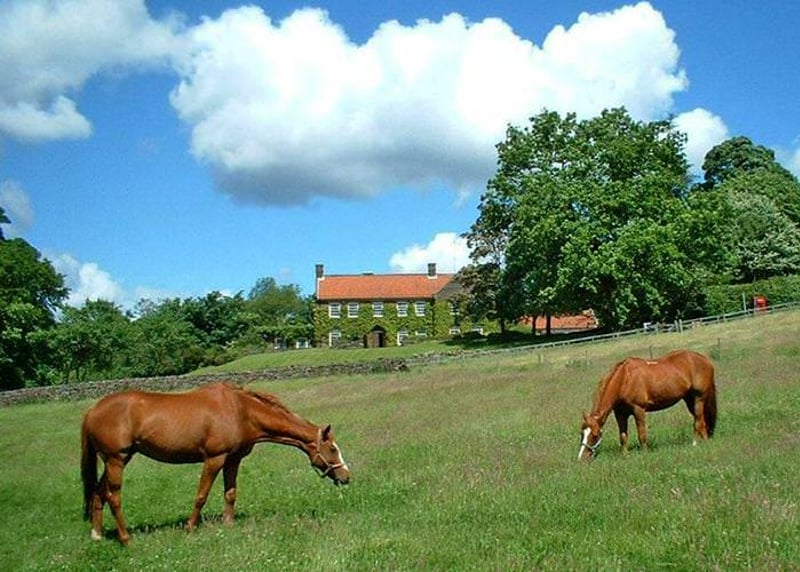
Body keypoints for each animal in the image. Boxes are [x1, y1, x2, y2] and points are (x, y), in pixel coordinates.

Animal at [81, 382, 350, 544]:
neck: (240, 410)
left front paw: (228, 524)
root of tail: (92, 410)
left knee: (98, 492)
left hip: (116, 461)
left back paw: (97, 535)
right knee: (114, 497)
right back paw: (126, 538)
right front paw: (190, 527)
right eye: (333, 449)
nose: (346, 477)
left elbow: (230, 493)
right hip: (116, 460)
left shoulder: (233, 459)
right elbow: (201, 495)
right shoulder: (214, 458)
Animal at [578, 349, 717, 461]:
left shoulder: (639, 410)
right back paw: (705, 441)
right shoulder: (620, 414)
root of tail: (706, 360)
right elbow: (623, 436)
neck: (625, 379)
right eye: (582, 433)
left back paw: (695, 443)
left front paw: (644, 453)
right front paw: (625, 455)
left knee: (698, 420)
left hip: (699, 398)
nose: (582, 458)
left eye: (595, 435)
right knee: (702, 421)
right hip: (689, 399)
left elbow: (642, 433)